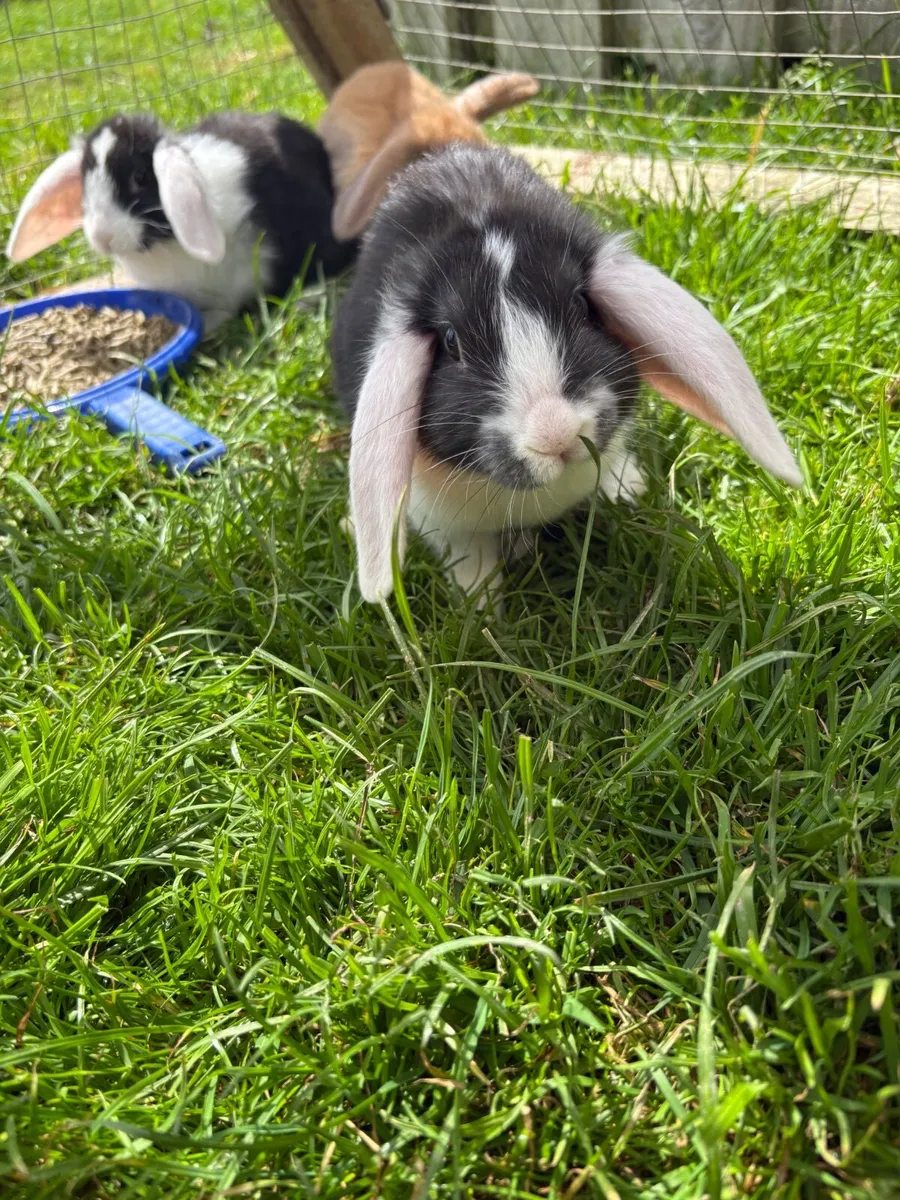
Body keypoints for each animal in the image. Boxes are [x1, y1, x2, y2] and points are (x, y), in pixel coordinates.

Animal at [332, 143, 803, 606]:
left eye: (580, 304)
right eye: (451, 341)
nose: (555, 433)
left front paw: (625, 488)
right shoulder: (448, 527)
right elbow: (472, 561)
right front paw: (481, 607)